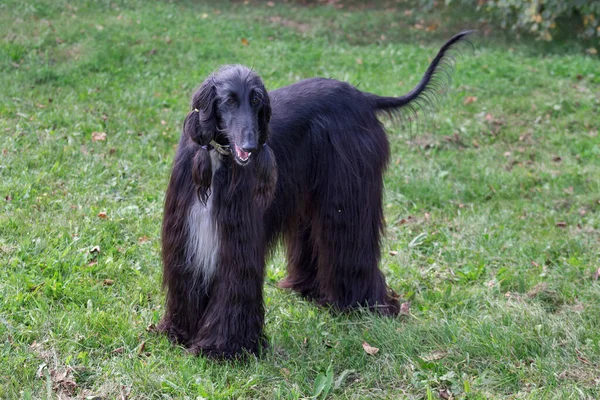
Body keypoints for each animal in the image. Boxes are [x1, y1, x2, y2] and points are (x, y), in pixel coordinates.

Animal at [158, 29, 474, 358]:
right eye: (229, 101)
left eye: (256, 100)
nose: (252, 147)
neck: (219, 160)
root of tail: (364, 98)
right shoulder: (185, 234)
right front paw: (179, 332)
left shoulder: (238, 238)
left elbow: (235, 284)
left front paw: (224, 348)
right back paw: (310, 289)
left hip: (348, 193)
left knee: (350, 244)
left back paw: (364, 305)